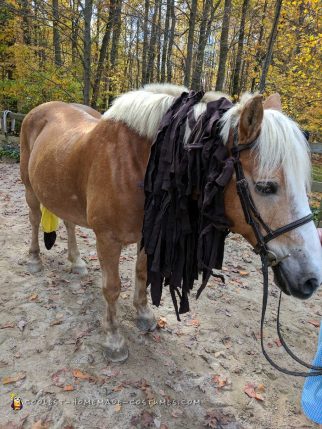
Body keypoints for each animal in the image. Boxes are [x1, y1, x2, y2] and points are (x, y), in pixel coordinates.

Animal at [19, 83, 322, 362]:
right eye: (265, 187)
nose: (311, 279)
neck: (137, 164)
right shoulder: (107, 239)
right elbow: (112, 288)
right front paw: (114, 340)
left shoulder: (148, 233)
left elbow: (141, 273)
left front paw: (144, 315)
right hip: (30, 188)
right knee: (35, 219)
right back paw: (34, 260)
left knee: (69, 223)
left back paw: (77, 262)